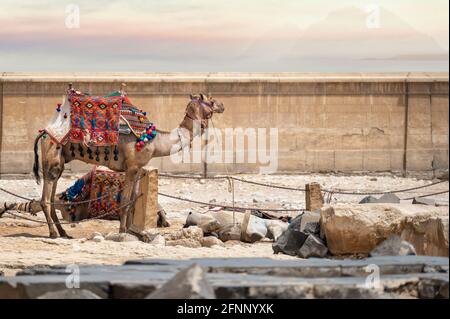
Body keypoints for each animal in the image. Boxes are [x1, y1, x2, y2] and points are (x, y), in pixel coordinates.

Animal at [32, 89, 224, 239]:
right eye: (211, 100)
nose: (222, 105)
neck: (154, 140)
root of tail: (44, 133)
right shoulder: (131, 167)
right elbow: (124, 200)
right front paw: (122, 231)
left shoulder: (138, 168)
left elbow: (133, 200)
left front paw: (133, 231)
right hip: (52, 157)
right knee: (45, 199)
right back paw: (53, 233)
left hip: (59, 162)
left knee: (52, 197)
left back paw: (63, 232)